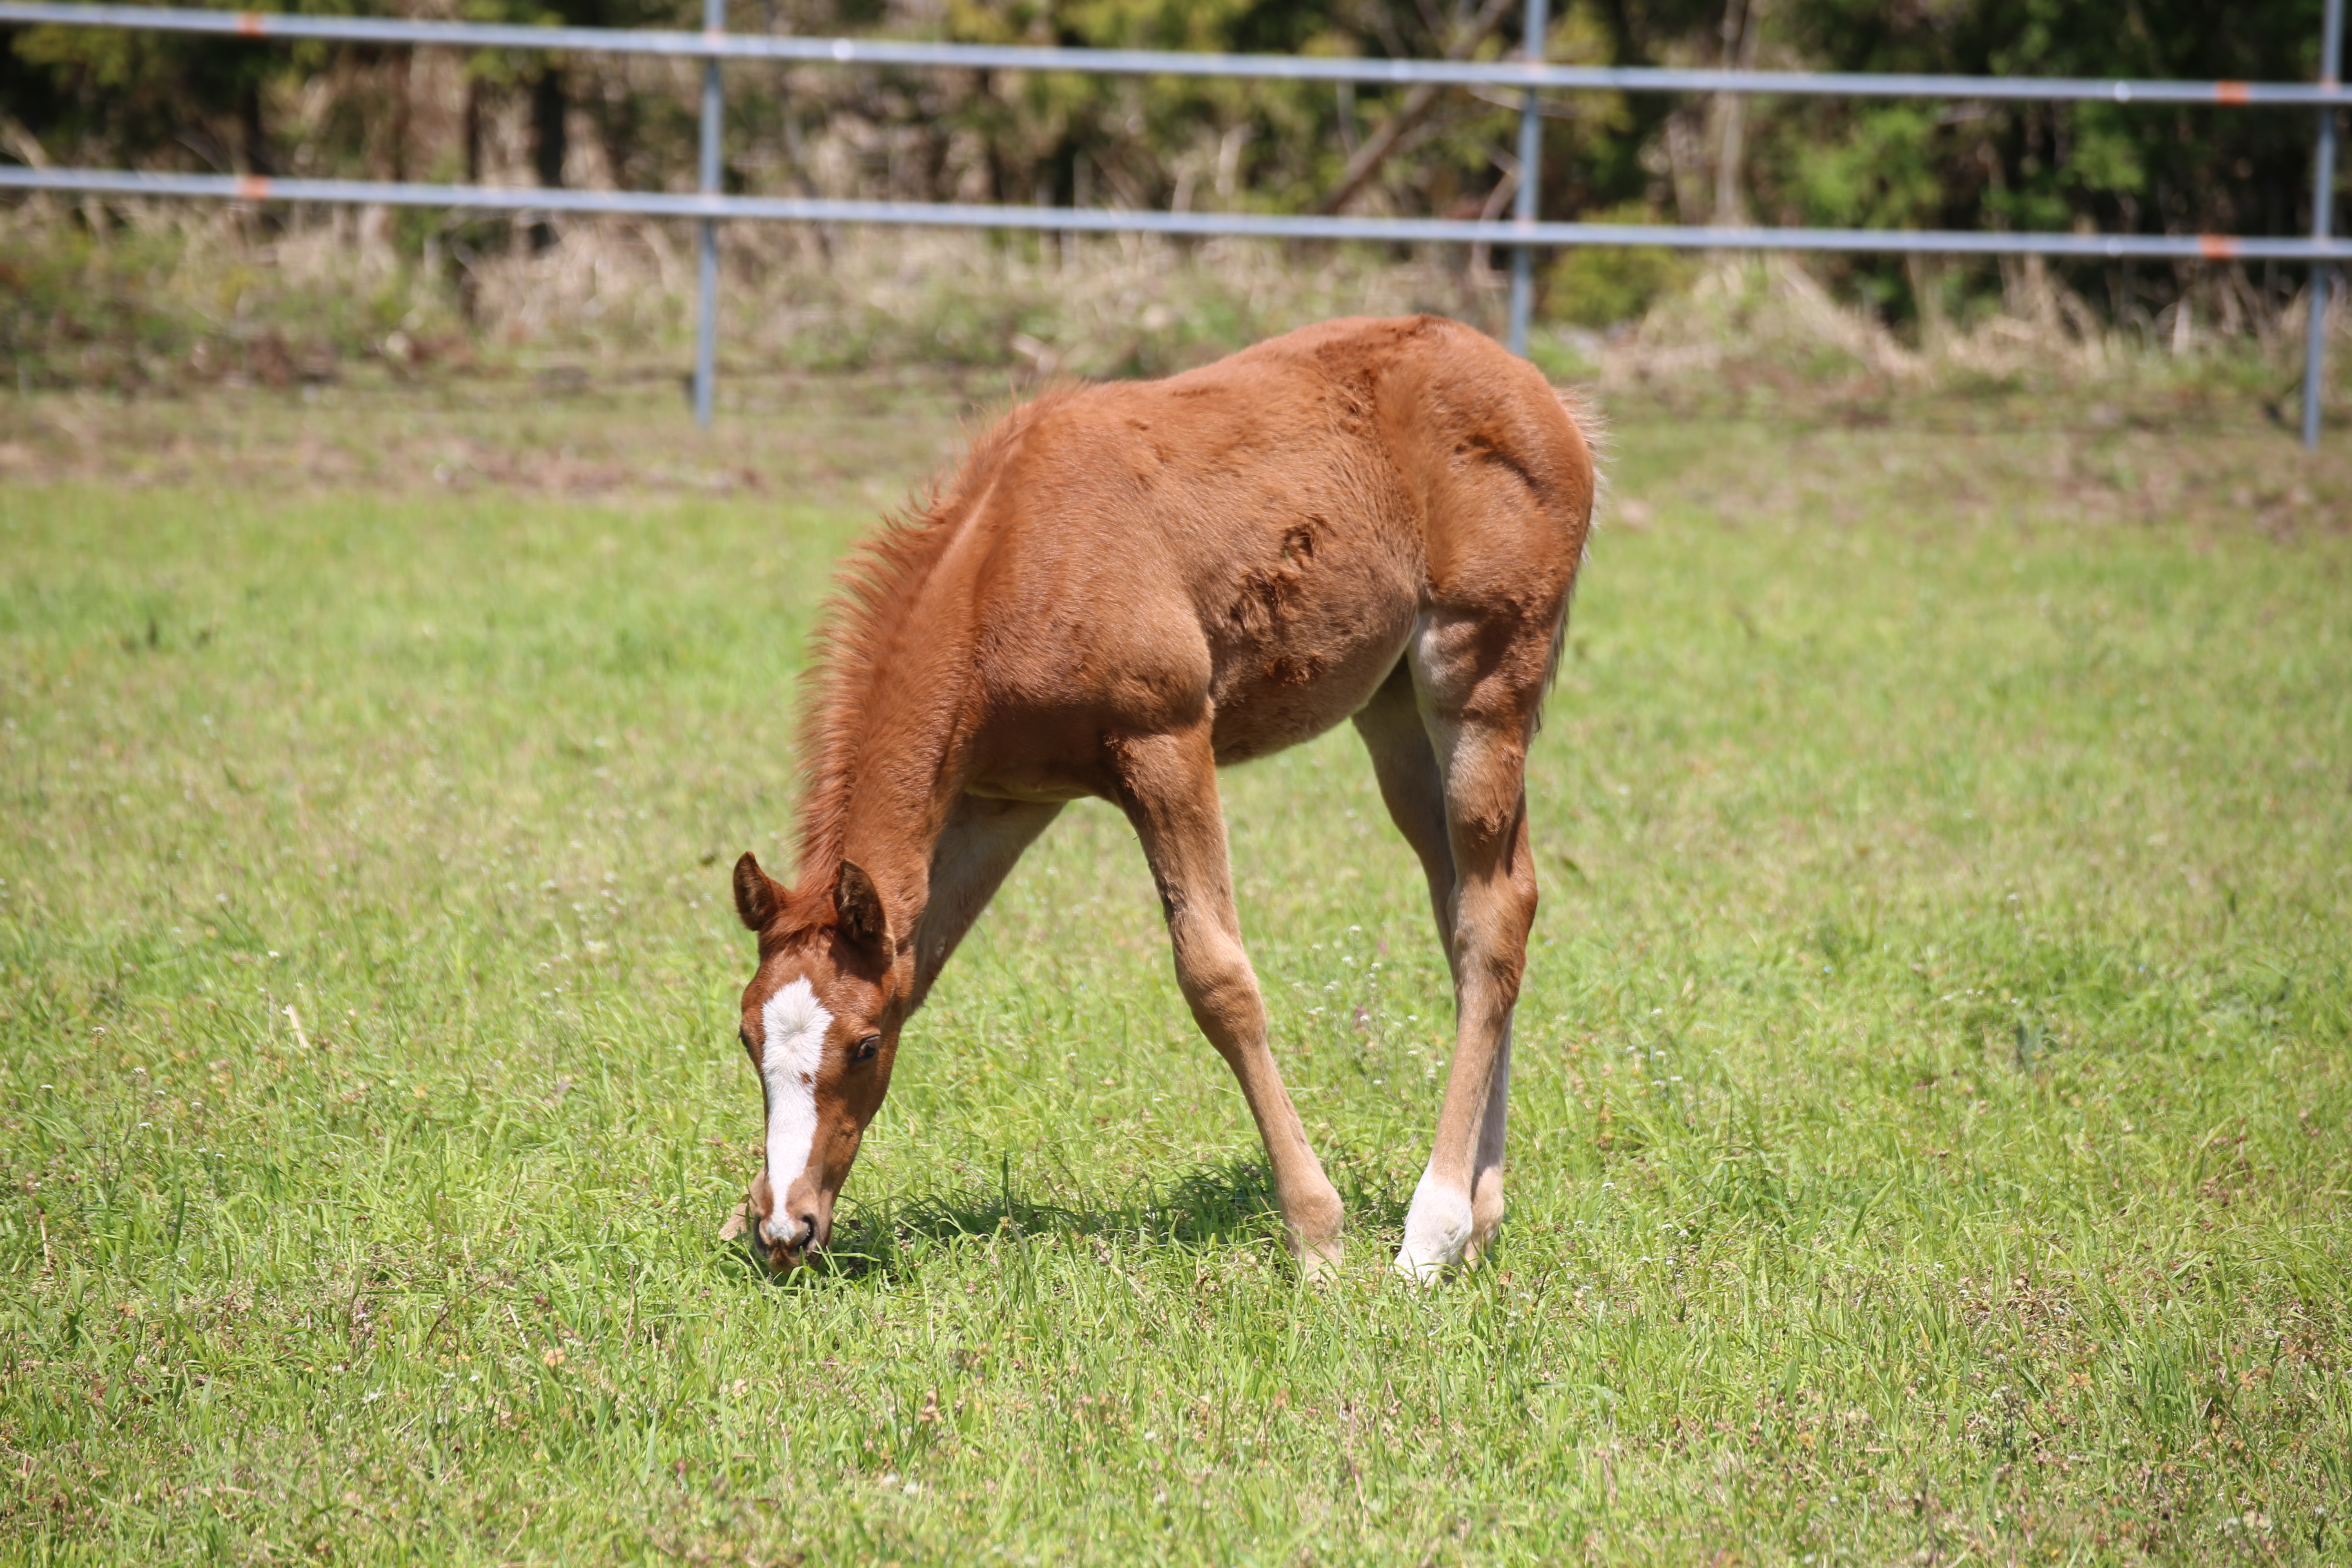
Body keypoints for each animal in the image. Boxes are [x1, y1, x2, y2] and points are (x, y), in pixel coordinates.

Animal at [724, 312, 1599, 1278]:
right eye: (748, 1038)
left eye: (864, 1045)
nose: (788, 1232)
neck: (1011, 561)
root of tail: (1545, 396)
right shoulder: (1002, 802)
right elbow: (919, 962)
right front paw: (754, 1208)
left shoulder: (1167, 743)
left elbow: (1217, 977)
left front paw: (1316, 1235)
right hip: (1396, 713)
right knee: (1481, 908)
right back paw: (1479, 1220)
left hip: (1478, 681)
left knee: (1490, 919)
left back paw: (1430, 1232)